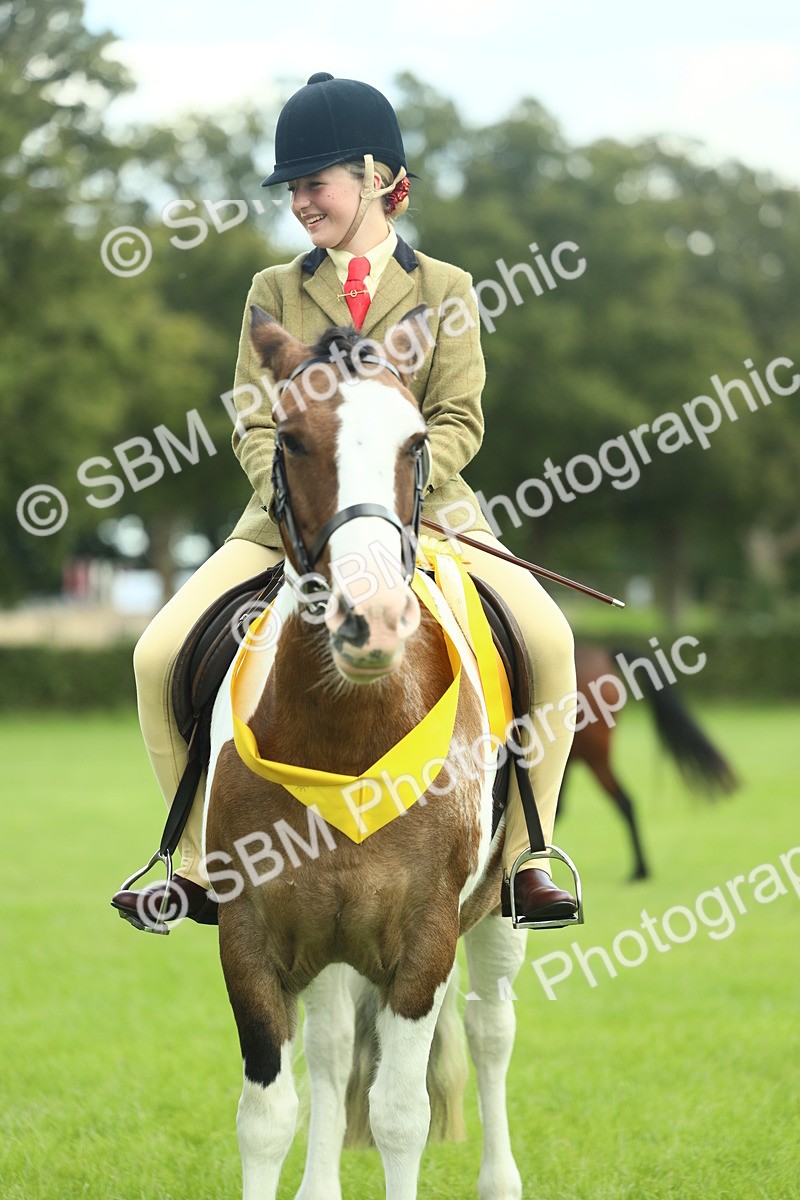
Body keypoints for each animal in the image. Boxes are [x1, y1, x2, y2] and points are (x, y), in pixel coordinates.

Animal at [202, 307, 528, 1200]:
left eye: (415, 441)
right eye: (288, 437)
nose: (371, 622)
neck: (347, 738)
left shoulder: (425, 940)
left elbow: (400, 1115)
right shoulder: (251, 933)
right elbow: (267, 1115)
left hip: (497, 911)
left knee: (490, 1031)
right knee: (332, 1046)